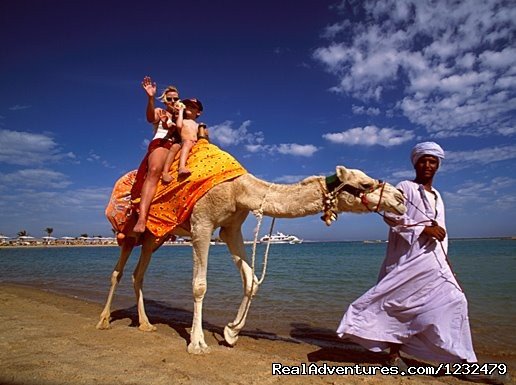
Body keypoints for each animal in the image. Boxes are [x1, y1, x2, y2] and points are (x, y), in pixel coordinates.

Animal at [94, 165, 406, 354]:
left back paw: (146, 324)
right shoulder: (201, 224)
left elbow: (251, 280)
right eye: (366, 183)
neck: (240, 190)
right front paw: (197, 343)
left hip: (155, 236)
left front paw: (231, 332)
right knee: (117, 271)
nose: (401, 198)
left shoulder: (231, 228)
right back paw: (103, 321)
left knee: (138, 273)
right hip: (132, 230)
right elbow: (199, 285)